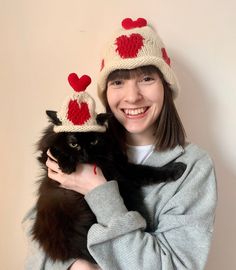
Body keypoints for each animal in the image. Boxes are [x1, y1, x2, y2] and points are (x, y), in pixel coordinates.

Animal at [31, 112, 186, 264]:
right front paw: (67, 163)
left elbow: (149, 171)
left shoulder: (120, 169)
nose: (85, 155)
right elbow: (52, 151)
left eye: (94, 142)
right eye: (73, 144)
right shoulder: (47, 159)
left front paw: (177, 169)